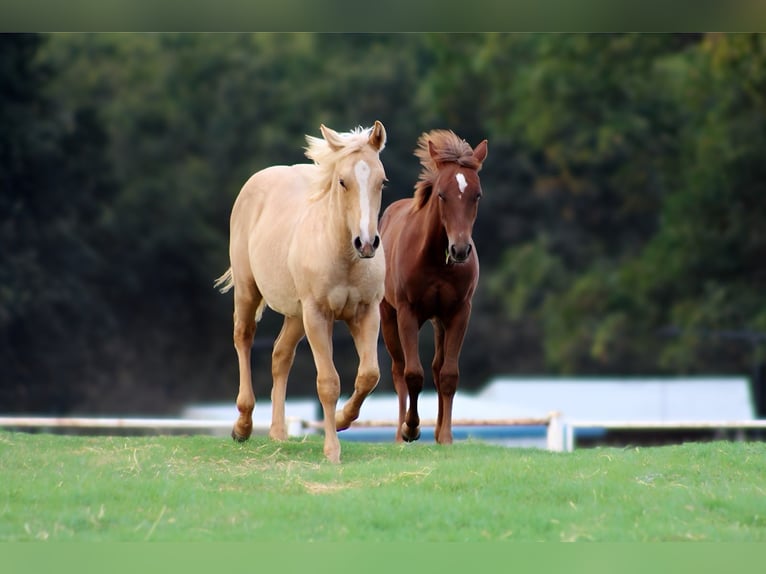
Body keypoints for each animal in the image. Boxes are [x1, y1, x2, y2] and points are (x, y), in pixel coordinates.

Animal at [215, 121, 388, 463]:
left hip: (296, 315)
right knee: (243, 338)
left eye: (381, 181)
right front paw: (332, 451)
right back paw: (242, 425)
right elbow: (328, 383)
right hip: (249, 292)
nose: (366, 243)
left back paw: (278, 433)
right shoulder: (318, 315)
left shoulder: (366, 312)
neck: (343, 256)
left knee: (280, 356)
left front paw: (342, 419)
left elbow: (368, 375)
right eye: (342, 182)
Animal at [379, 130, 487, 445]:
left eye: (477, 195)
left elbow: (448, 374)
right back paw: (400, 433)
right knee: (398, 370)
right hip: (388, 315)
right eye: (442, 195)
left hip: (439, 321)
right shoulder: (407, 312)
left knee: (438, 368)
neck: (436, 259)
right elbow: (413, 373)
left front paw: (446, 437)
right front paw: (411, 428)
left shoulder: (459, 312)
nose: (460, 249)